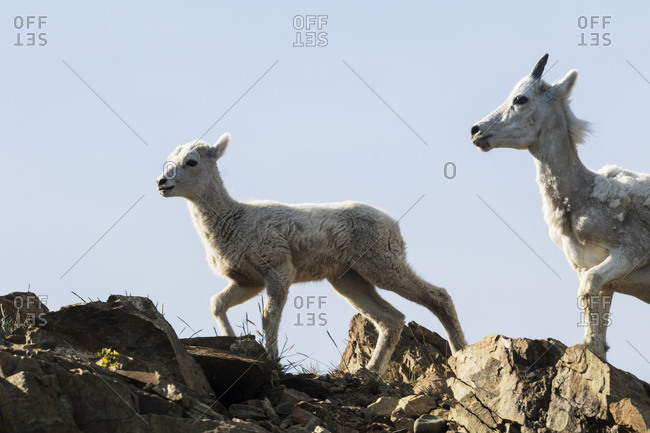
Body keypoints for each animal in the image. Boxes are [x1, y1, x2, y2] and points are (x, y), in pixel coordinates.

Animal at [156, 133, 467, 374]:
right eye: (168, 161)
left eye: (191, 162)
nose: (161, 183)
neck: (234, 220)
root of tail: (393, 224)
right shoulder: (248, 281)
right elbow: (217, 304)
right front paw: (231, 340)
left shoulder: (278, 270)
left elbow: (269, 317)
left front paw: (273, 360)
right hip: (348, 278)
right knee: (391, 319)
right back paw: (370, 371)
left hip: (382, 265)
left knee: (437, 296)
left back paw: (460, 352)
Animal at [471, 54, 650, 360]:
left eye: (521, 98)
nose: (476, 131)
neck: (582, 195)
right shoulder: (604, 279)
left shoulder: (629, 253)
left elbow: (587, 290)